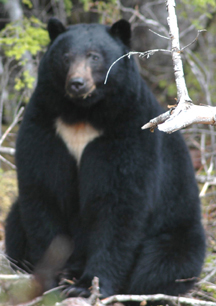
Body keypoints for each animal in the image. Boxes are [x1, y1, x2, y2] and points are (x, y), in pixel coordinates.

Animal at [5, 17, 206, 298]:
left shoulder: (127, 130)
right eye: (65, 57)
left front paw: (88, 285)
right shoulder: (46, 127)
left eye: (94, 57)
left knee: (162, 263)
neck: (82, 115)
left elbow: (119, 203)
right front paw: (50, 277)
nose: (77, 83)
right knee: (14, 225)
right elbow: (43, 193)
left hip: (178, 229)